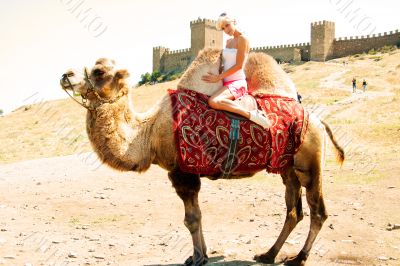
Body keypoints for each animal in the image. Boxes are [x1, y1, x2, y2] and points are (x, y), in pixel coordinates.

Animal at [60, 50, 344, 266]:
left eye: (99, 71)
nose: (65, 75)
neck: (149, 132)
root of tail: (319, 121)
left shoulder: (181, 171)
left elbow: (191, 219)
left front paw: (197, 258)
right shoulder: (187, 172)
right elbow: (197, 215)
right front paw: (201, 255)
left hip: (310, 162)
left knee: (318, 211)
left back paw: (298, 258)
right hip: (287, 168)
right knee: (293, 211)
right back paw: (268, 254)